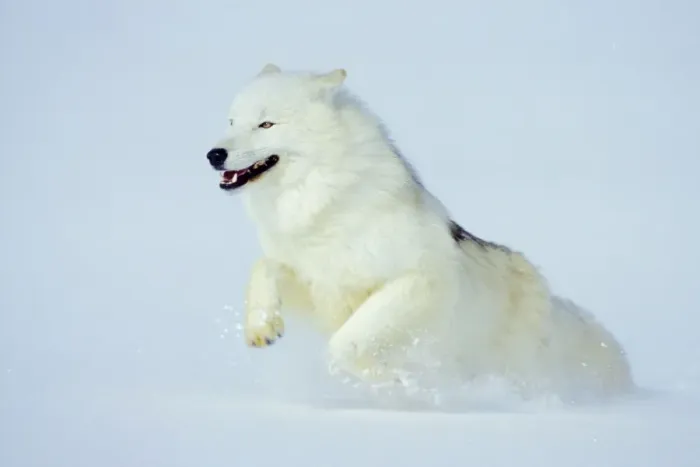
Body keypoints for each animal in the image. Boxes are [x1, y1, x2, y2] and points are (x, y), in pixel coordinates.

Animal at [205, 64, 634, 399]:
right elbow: (263, 267)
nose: (214, 154)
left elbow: (346, 344)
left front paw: (396, 382)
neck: (324, 202)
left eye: (266, 123)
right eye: (231, 122)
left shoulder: (419, 280)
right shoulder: (317, 284)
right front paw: (262, 325)